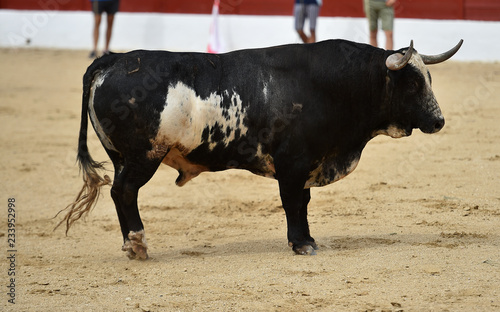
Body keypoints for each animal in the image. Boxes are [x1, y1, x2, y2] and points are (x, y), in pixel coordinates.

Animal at [56, 39, 462, 258]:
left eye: (428, 78)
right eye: (412, 83)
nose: (438, 121)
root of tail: (114, 59)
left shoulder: (305, 167)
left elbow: (303, 203)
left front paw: (307, 239)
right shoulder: (293, 165)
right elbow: (293, 204)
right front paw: (301, 244)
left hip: (122, 158)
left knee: (119, 193)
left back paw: (131, 244)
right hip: (143, 157)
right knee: (125, 192)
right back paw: (138, 245)